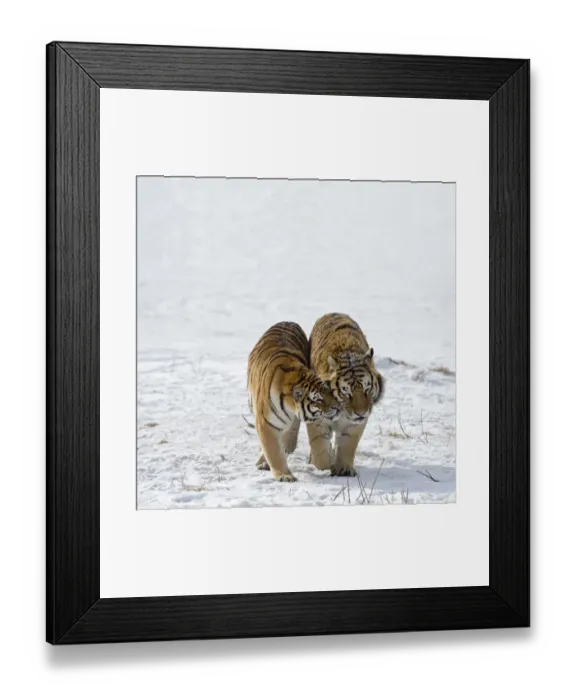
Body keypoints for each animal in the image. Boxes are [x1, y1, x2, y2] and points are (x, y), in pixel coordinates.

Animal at [247, 321, 340, 482]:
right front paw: (284, 475)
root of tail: (288, 321)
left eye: (329, 392)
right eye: (319, 399)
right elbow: (273, 451)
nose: (337, 407)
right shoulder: (266, 423)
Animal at [307, 313, 385, 477]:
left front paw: (343, 469)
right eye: (346, 392)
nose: (361, 413)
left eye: (367, 389)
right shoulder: (316, 416)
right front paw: (327, 460)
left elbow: (348, 444)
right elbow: (319, 448)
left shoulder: (354, 424)